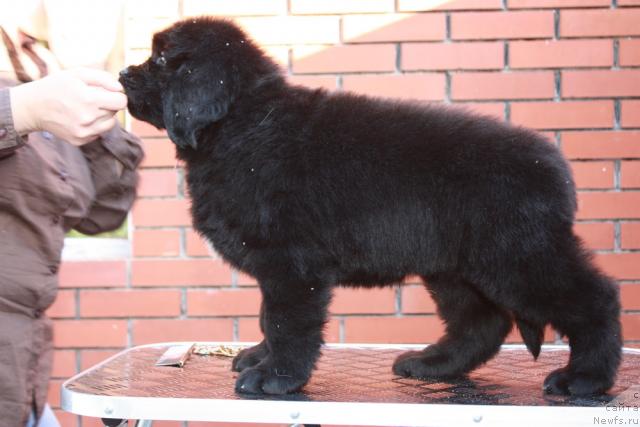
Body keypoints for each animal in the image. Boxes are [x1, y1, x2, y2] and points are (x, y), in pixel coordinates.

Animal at [120, 17, 620, 398]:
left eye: (162, 60)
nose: (123, 73)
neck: (242, 124)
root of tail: (556, 167)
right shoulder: (277, 268)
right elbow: (267, 315)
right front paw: (260, 358)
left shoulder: (292, 265)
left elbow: (286, 323)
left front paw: (275, 377)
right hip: (455, 265)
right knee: (482, 320)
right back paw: (433, 364)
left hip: (518, 255)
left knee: (595, 298)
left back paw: (585, 378)